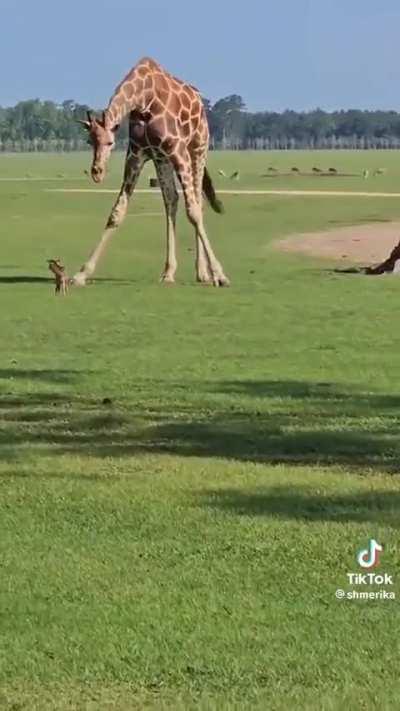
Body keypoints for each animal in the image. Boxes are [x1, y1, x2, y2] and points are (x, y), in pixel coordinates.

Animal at [74, 57, 229, 287]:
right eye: (90, 141)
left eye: (110, 142)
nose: (97, 172)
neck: (143, 98)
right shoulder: (137, 154)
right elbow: (117, 212)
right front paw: (82, 273)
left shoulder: (177, 150)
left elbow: (192, 211)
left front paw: (219, 274)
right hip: (161, 159)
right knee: (171, 200)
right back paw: (169, 272)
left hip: (198, 148)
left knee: (197, 201)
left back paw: (202, 273)